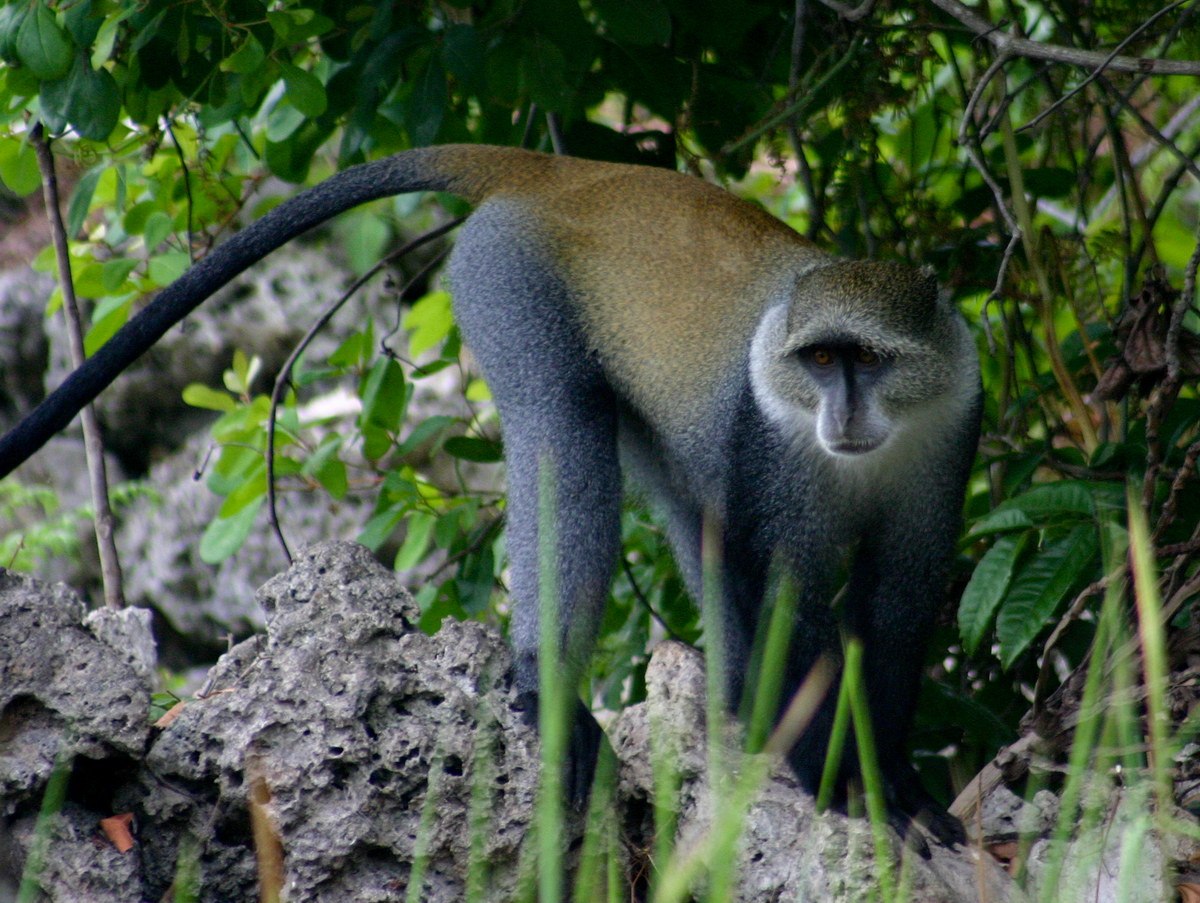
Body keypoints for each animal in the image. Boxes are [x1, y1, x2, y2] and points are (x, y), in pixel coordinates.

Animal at [0, 146, 979, 845]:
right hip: (507, 277)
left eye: (870, 359)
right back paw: (551, 685)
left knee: (690, 509)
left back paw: (733, 705)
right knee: (563, 434)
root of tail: (569, 171)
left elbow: (896, 608)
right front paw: (837, 778)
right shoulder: (775, 443)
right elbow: (787, 597)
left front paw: (894, 778)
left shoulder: (950, 431)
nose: (841, 412)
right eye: (821, 359)